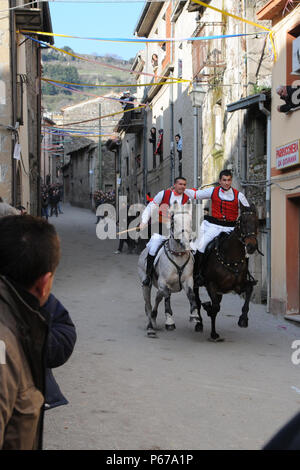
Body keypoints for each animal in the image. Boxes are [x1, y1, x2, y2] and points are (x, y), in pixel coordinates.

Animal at [138, 202, 199, 338]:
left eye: (189, 220)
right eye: (173, 221)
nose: (185, 241)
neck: (178, 255)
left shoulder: (188, 280)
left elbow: (191, 295)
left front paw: (195, 315)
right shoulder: (163, 283)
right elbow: (167, 297)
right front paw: (170, 321)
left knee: (157, 298)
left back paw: (154, 318)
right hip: (146, 284)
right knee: (148, 304)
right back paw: (150, 328)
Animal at [195, 205, 260, 342]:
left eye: (257, 222)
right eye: (243, 222)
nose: (251, 246)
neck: (231, 257)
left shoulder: (238, 286)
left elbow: (249, 290)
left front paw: (243, 319)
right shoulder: (211, 285)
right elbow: (215, 308)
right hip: (194, 283)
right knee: (197, 301)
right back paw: (199, 323)